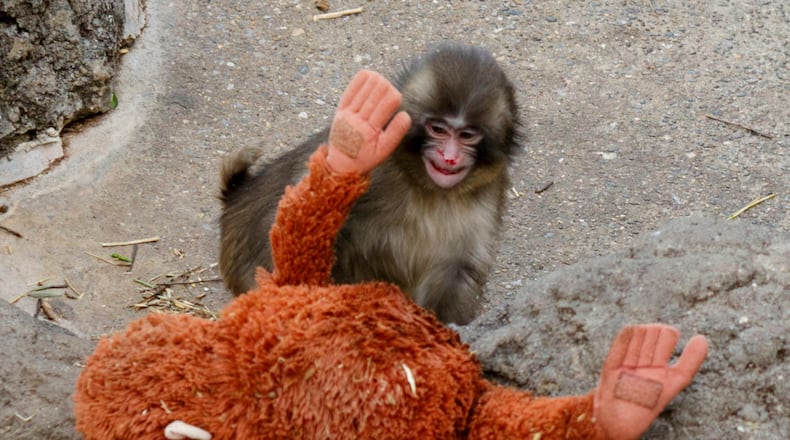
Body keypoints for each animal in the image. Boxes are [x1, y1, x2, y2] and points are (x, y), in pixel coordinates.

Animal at [219, 44, 519, 324]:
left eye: (467, 135)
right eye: (438, 130)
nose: (450, 157)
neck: (428, 188)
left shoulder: (490, 193)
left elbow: (461, 269)